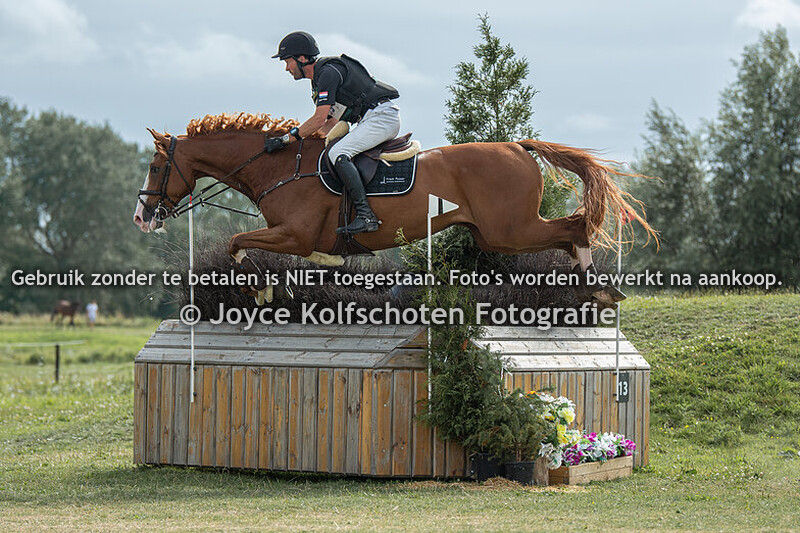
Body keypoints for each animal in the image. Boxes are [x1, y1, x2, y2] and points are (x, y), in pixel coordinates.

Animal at [133, 113, 655, 306]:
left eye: (156, 167)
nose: (141, 217)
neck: (279, 166)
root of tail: (517, 147)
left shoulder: (294, 235)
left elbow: (238, 243)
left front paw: (261, 290)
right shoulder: (292, 238)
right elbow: (245, 245)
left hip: (510, 229)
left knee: (574, 228)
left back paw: (599, 286)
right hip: (497, 232)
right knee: (570, 230)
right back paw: (594, 285)